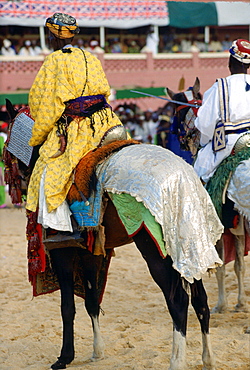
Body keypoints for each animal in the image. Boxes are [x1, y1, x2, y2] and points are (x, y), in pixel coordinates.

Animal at [3, 99, 223, 370]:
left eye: (7, 141)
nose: (15, 182)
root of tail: (181, 178)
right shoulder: (90, 253)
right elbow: (91, 300)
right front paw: (97, 351)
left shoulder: (63, 251)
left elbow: (67, 306)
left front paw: (65, 356)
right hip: (190, 244)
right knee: (200, 301)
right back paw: (208, 358)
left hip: (156, 251)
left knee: (179, 302)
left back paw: (176, 361)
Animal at [167, 76, 249, 314]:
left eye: (173, 110)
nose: (179, 139)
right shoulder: (236, 227)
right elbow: (239, 264)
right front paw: (240, 303)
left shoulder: (221, 227)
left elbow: (222, 265)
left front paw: (221, 305)